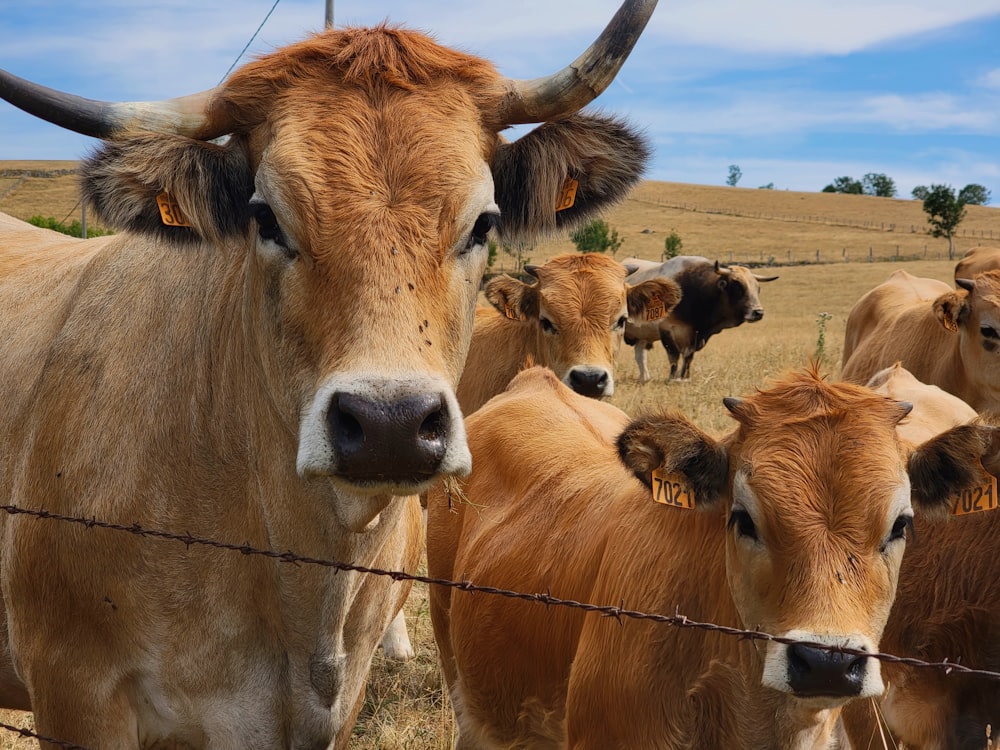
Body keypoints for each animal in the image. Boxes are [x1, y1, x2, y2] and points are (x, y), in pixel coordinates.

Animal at [620, 258, 776, 384]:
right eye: (738, 287)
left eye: (758, 288)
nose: (758, 312)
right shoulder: (667, 330)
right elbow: (674, 357)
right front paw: (672, 378)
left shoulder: (694, 336)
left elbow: (688, 357)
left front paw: (684, 377)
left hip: (642, 336)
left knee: (640, 355)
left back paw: (644, 377)